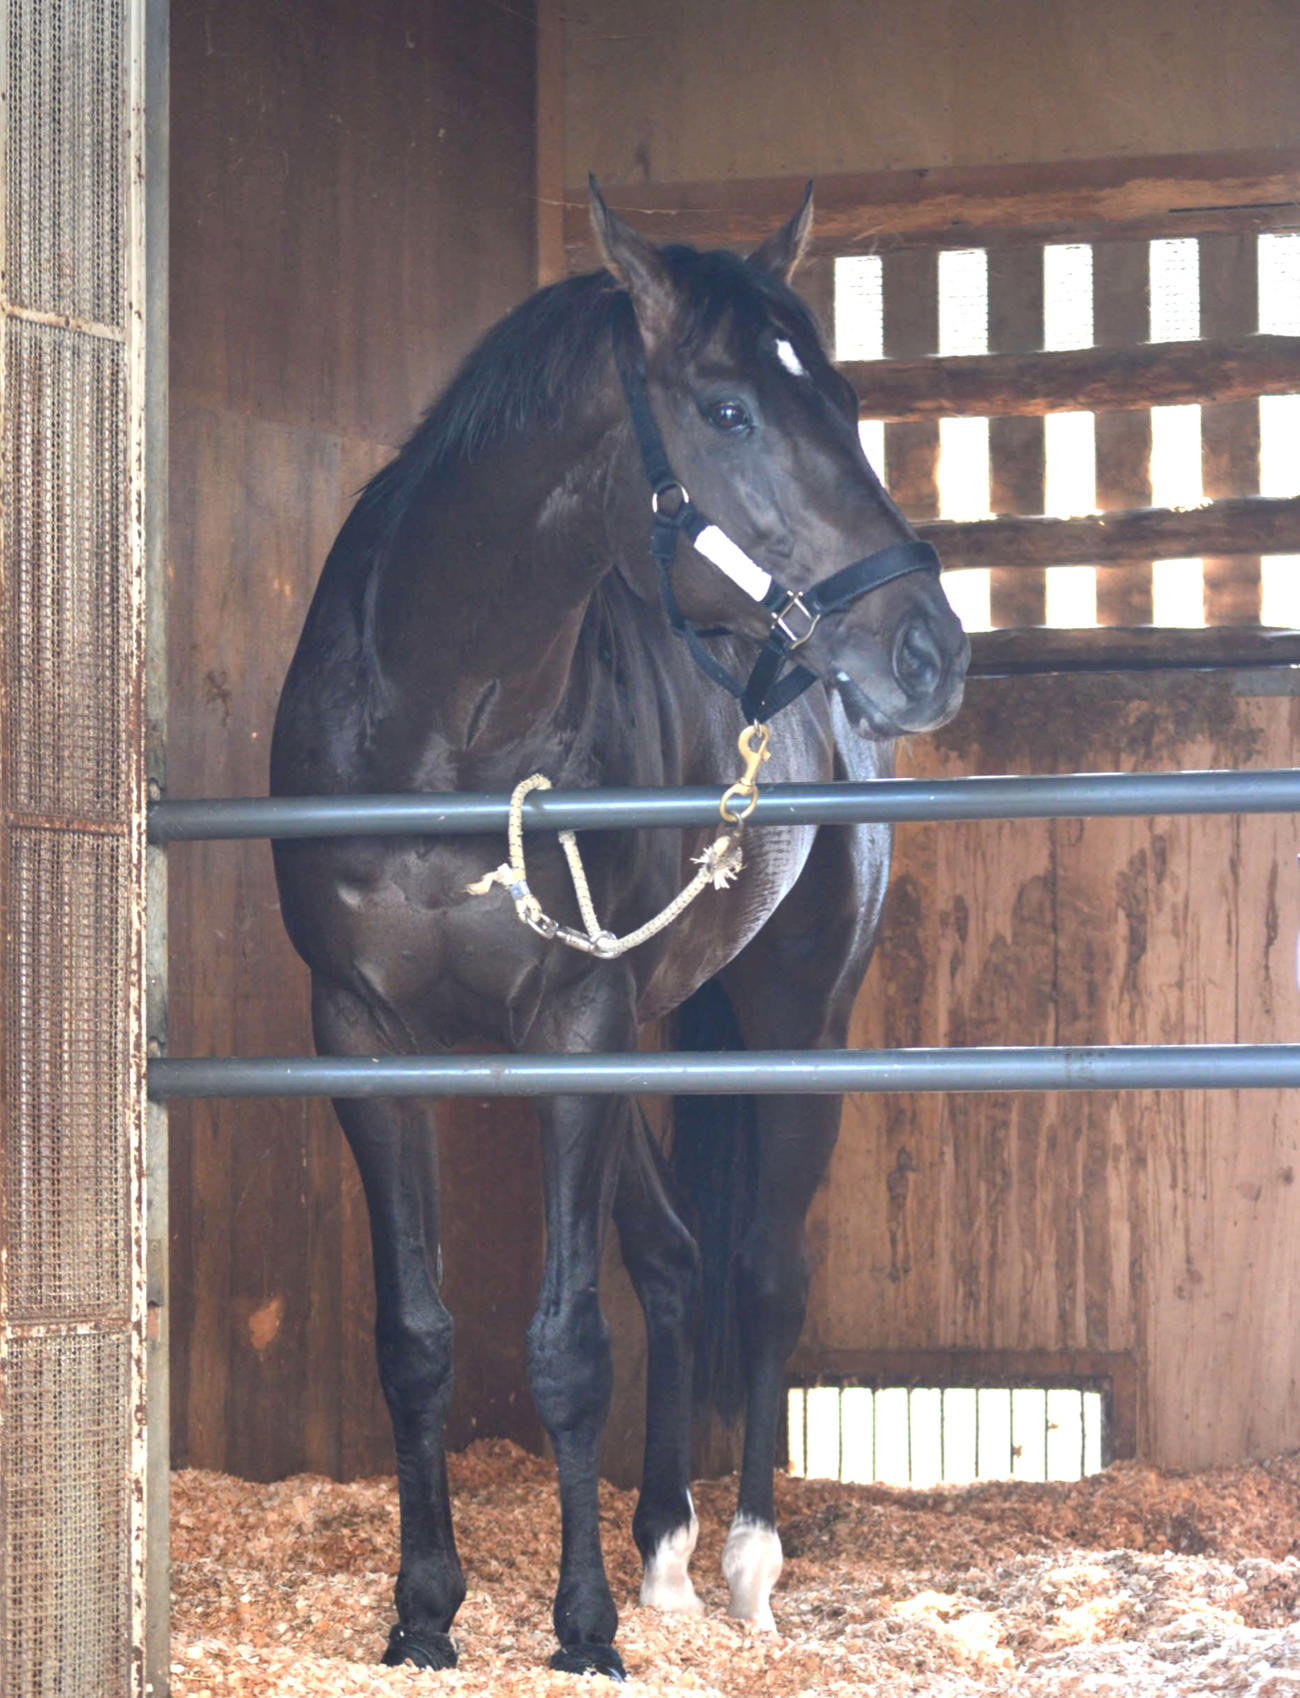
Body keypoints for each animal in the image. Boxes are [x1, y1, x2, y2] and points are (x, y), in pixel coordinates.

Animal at [270, 180, 968, 1679]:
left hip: (796, 1020)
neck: (441, 718)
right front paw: (424, 1612)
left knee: (761, 1270)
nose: (930, 650)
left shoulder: (570, 1028)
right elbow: (416, 1336)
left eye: (842, 395)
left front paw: (580, 1629)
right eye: (731, 410)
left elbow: (566, 1343)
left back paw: (747, 1558)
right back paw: (665, 1548)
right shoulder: (362, 1034)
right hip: (648, 1029)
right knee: (678, 1257)